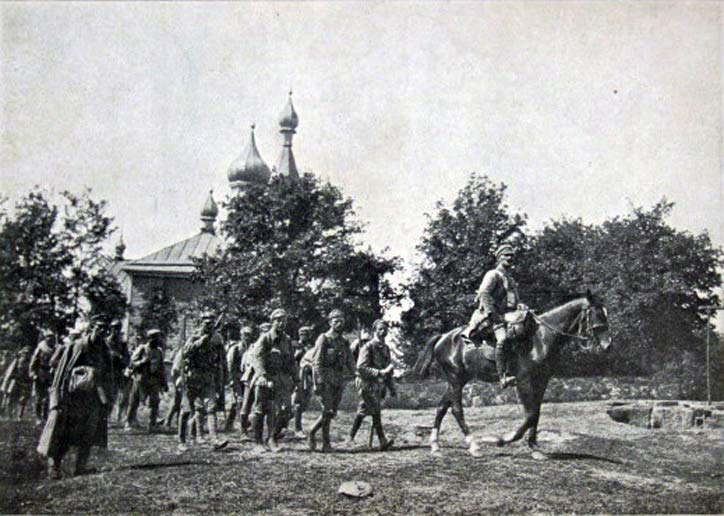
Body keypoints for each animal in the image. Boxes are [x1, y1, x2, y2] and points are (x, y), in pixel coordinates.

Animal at [412, 292, 612, 458]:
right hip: (455, 380)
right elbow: (530, 414)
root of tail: (443, 337)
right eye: (596, 314)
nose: (608, 344)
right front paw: (502, 439)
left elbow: (536, 412)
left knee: (441, 407)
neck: (541, 338)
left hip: (458, 380)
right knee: (456, 410)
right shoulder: (524, 381)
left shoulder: (541, 381)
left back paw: (435, 446)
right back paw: (474, 445)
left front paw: (534, 447)